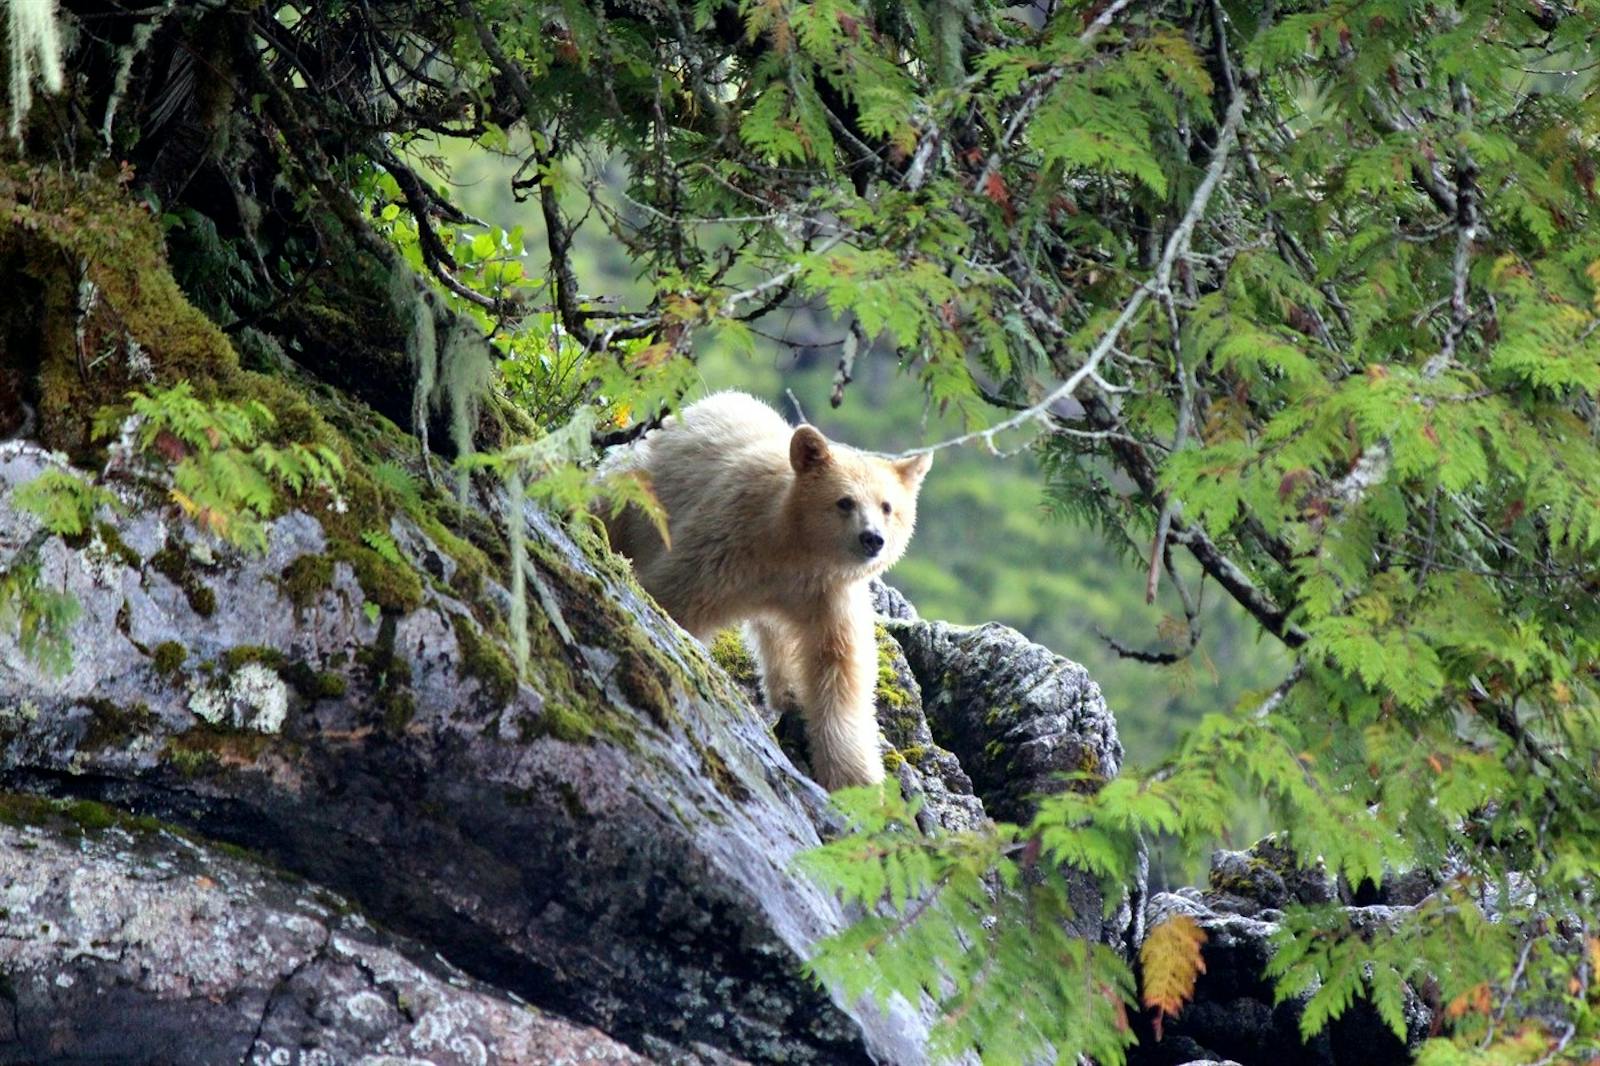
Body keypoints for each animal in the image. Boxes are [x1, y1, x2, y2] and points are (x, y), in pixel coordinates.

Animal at [601, 390, 934, 787]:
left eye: (887, 507)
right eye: (844, 501)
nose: (872, 539)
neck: (793, 549)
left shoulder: (828, 594)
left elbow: (840, 670)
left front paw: (856, 778)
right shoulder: (727, 541)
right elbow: (674, 596)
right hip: (639, 486)